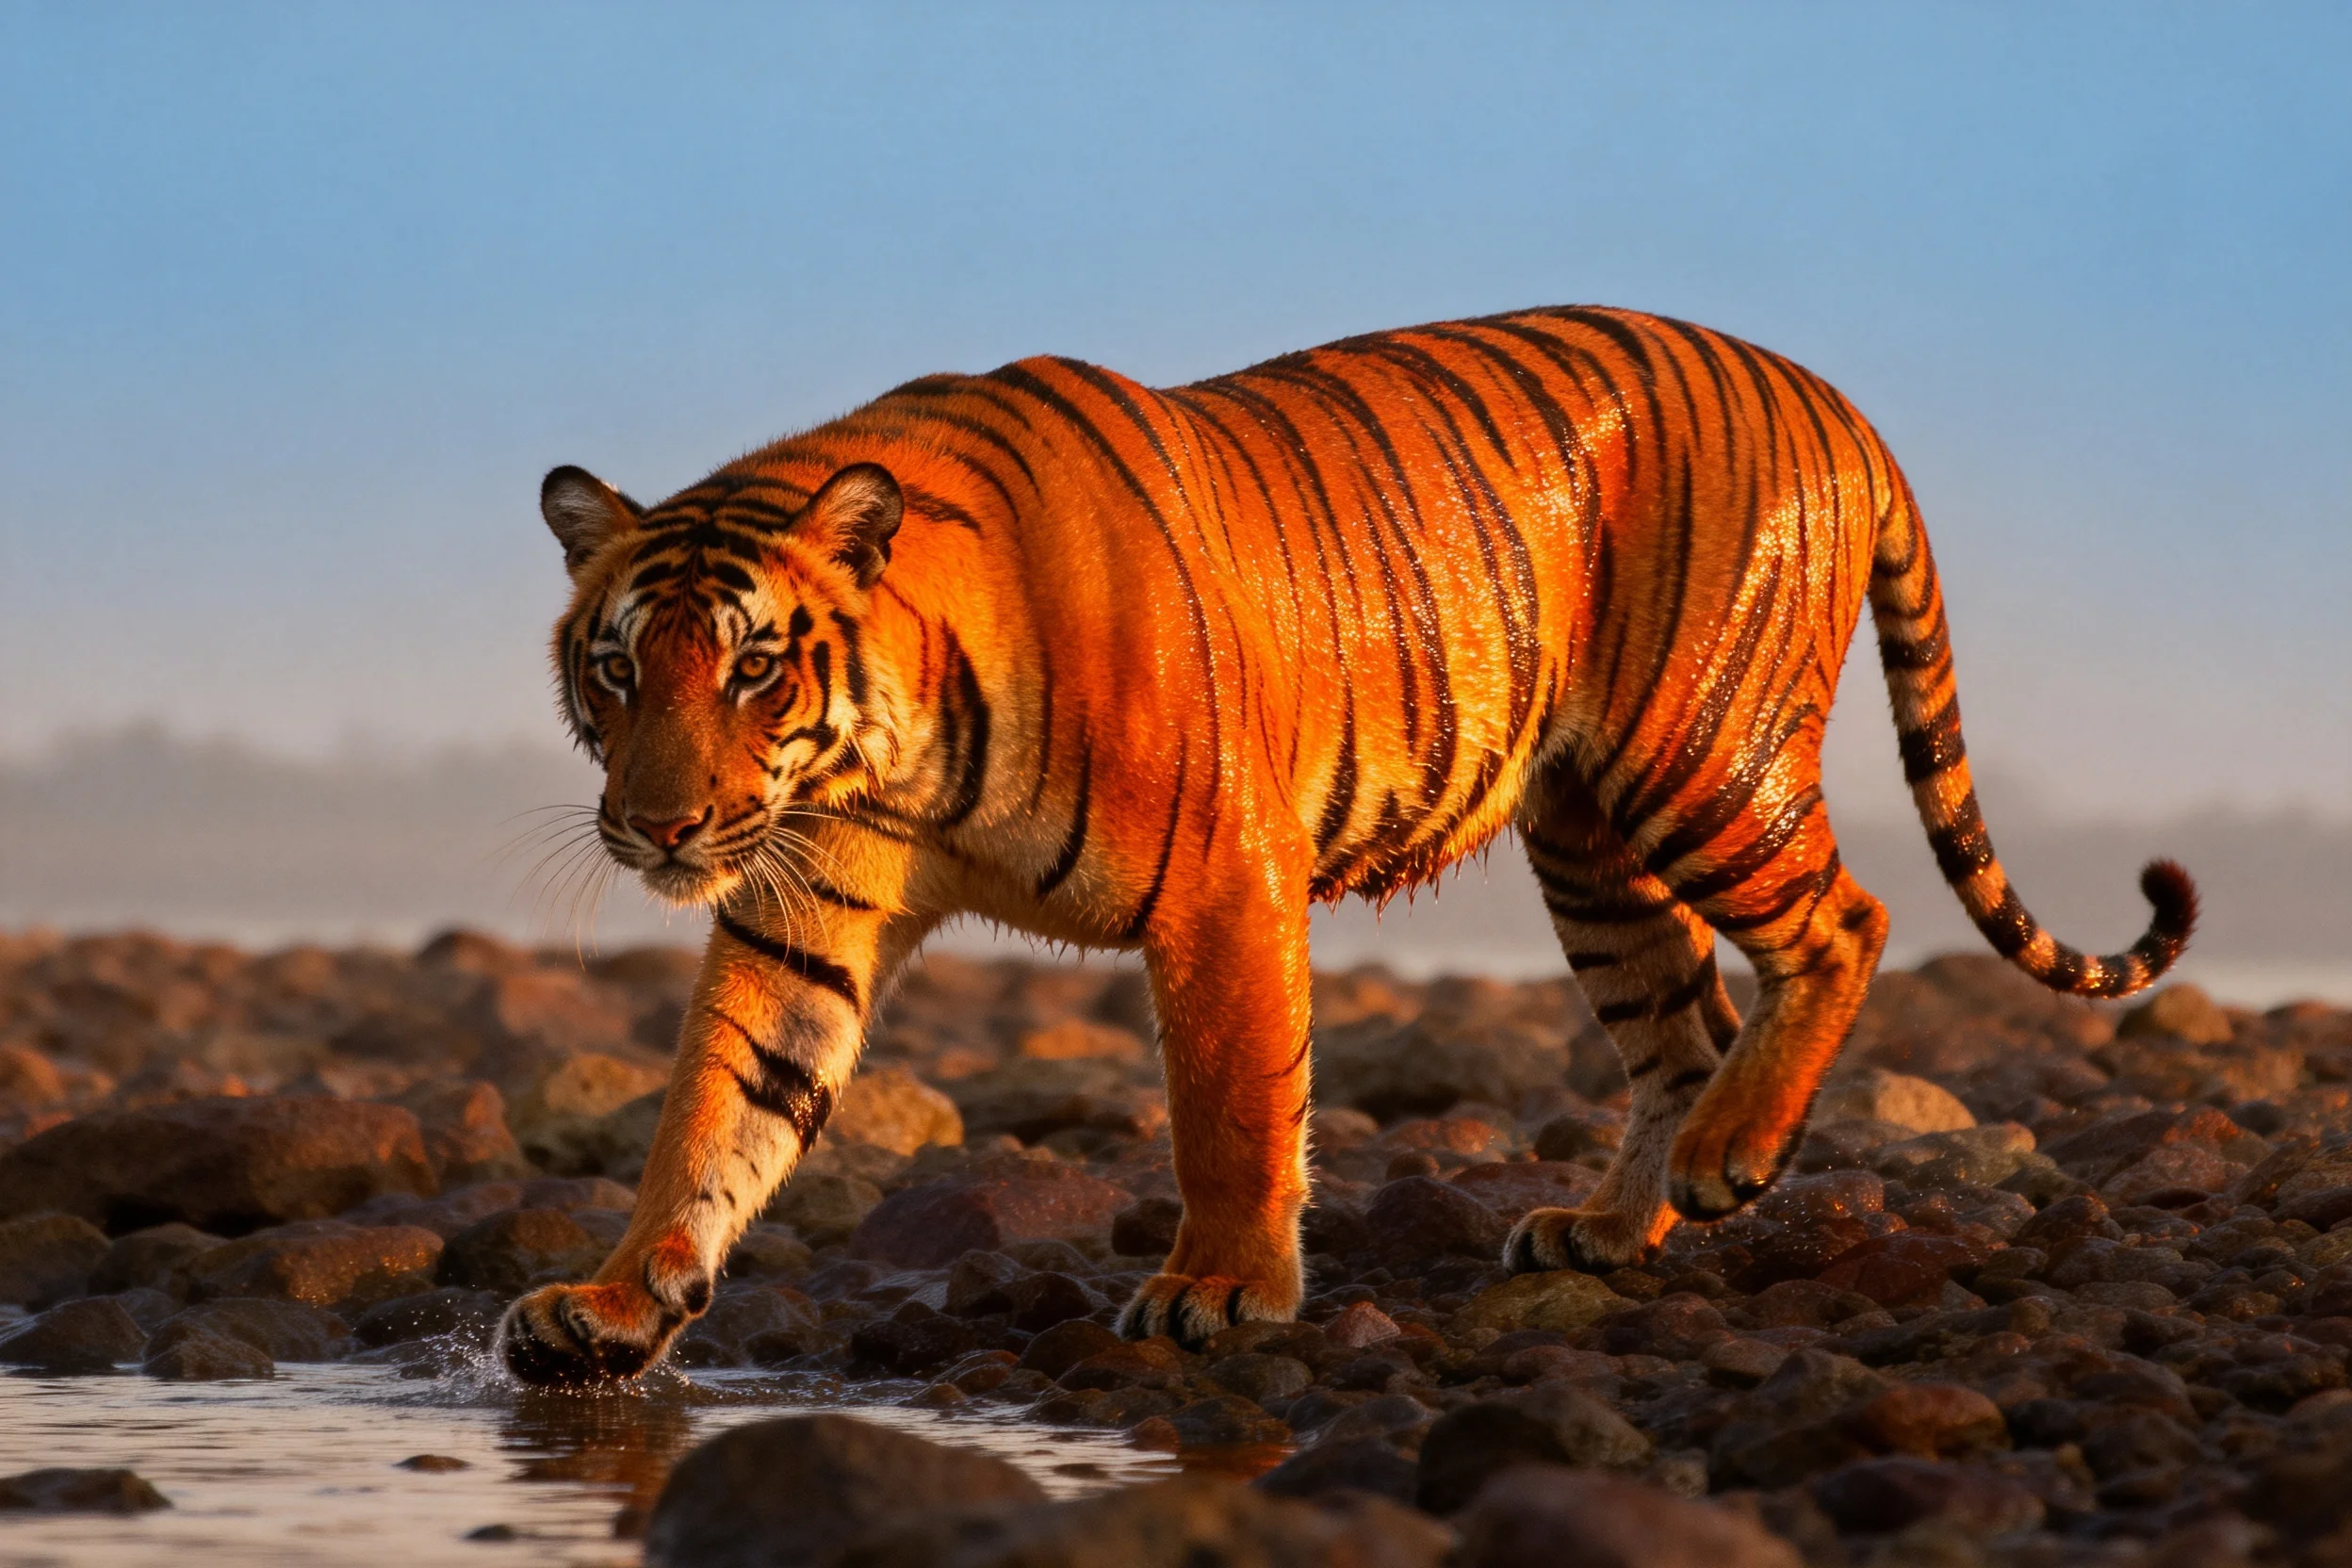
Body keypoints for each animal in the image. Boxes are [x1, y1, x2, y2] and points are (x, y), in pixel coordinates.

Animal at [497, 305, 2194, 1384]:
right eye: (617, 667)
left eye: (752, 669)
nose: (657, 823)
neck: (892, 759)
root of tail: (1832, 394)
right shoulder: (799, 918)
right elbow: (713, 1114)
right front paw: (611, 1304)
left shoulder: (1220, 881)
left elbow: (1233, 1103)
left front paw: (1219, 1290)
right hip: (1587, 838)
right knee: (1682, 1023)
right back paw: (1610, 1228)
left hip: (1698, 757)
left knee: (1842, 920)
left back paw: (1733, 1155)